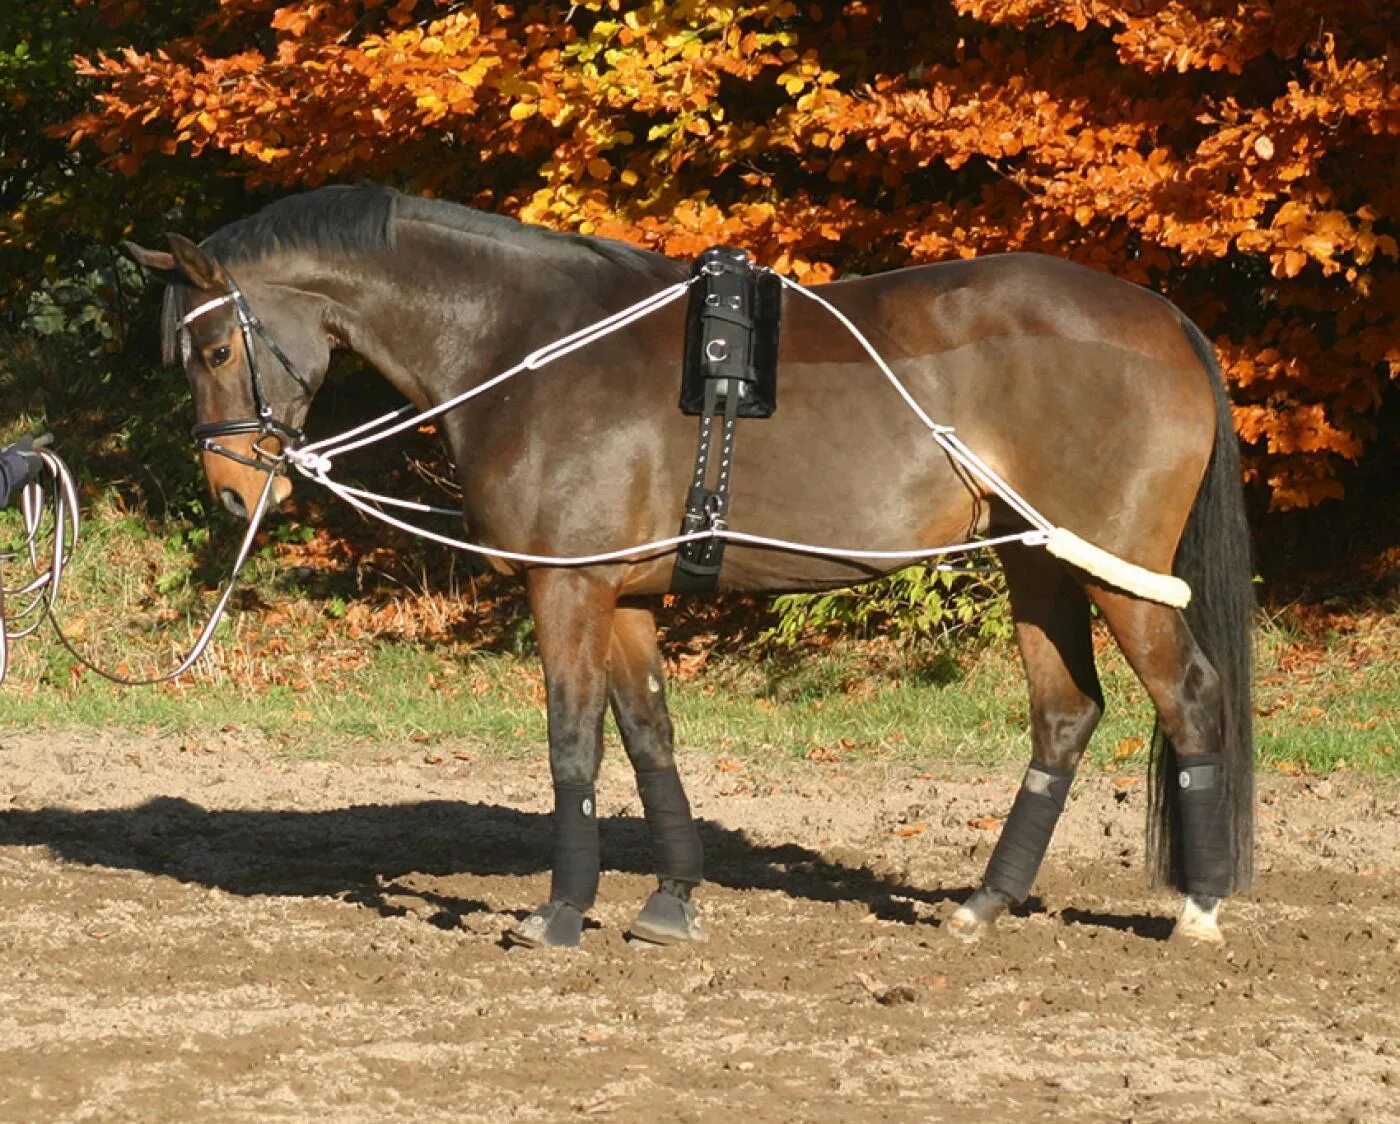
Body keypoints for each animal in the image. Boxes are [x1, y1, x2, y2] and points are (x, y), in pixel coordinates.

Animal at [126, 181, 1254, 951]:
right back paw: (985, 899)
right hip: (1038, 565)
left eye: (215, 350)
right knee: (1065, 714)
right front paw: (670, 899)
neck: (529, 344)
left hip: (1115, 571)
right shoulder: (622, 593)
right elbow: (648, 738)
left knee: (1190, 699)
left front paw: (561, 910)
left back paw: (1198, 907)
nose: (232, 494)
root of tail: (1165, 318)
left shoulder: (567, 585)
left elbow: (572, 743)